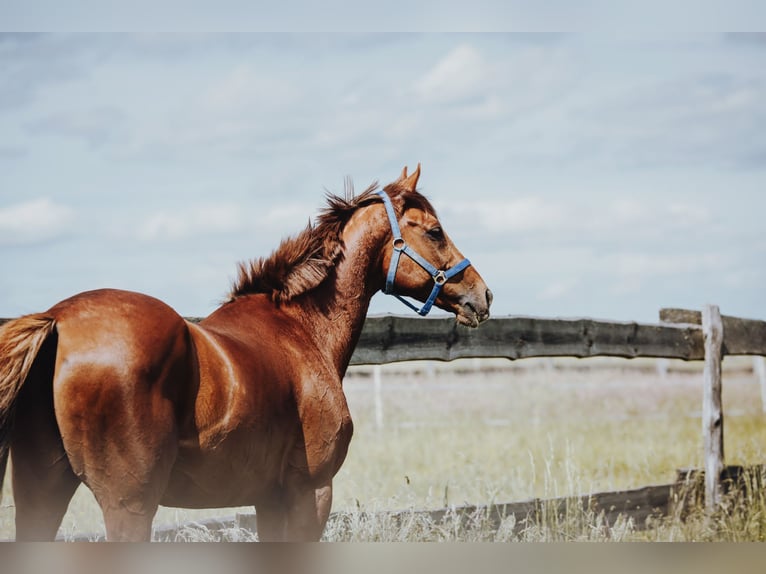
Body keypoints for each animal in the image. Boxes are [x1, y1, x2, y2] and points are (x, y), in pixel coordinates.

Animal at [0, 164, 492, 544]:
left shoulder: (267, 499)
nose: (482, 295)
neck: (302, 329)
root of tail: (58, 320)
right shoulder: (312, 491)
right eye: (435, 231)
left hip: (41, 493)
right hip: (129, 507)